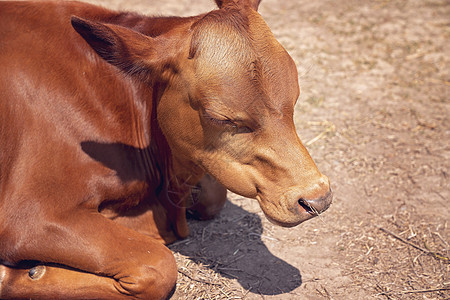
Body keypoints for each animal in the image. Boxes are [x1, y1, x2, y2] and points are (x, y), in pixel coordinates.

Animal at [0, 0, 330, 298]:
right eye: (220, 117)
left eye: (295, 97)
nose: (318, 197)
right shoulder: (31, 216)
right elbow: (158, 266)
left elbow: (213, 196)